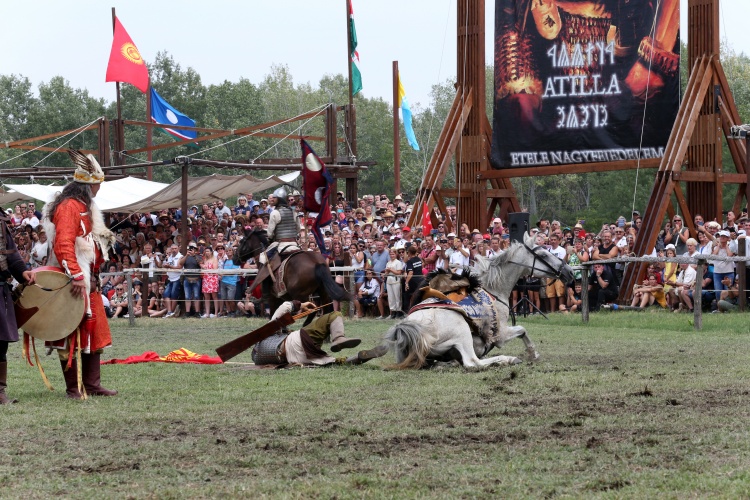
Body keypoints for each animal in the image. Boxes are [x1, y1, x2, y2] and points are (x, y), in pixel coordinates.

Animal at [388, 232, 576, 370]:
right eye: (544, 254)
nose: (569, 272)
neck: (493, 289)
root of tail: (405, 328)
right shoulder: (500, 335)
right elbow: (522, 330)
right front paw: (533, 354)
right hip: (462, 331)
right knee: (472, 363)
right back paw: (507, 359)